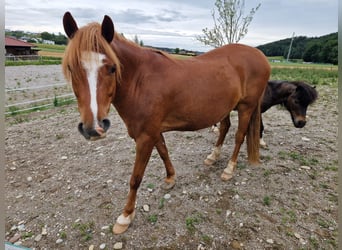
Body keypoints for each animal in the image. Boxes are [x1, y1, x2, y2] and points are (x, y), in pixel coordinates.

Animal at [61, 11, 270, 234]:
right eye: (71, 68)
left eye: (111, 68)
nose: (93, 128)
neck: (140, 81)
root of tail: (260, 56)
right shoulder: (153, 132)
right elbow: (163, 151)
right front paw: (170, 179)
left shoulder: (144, 137)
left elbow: (135, 178)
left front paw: (125, 216)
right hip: (226, 108)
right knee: (224, 128)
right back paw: (213, 157)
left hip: (246, 107)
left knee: (239, 136)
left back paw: (229, 170)